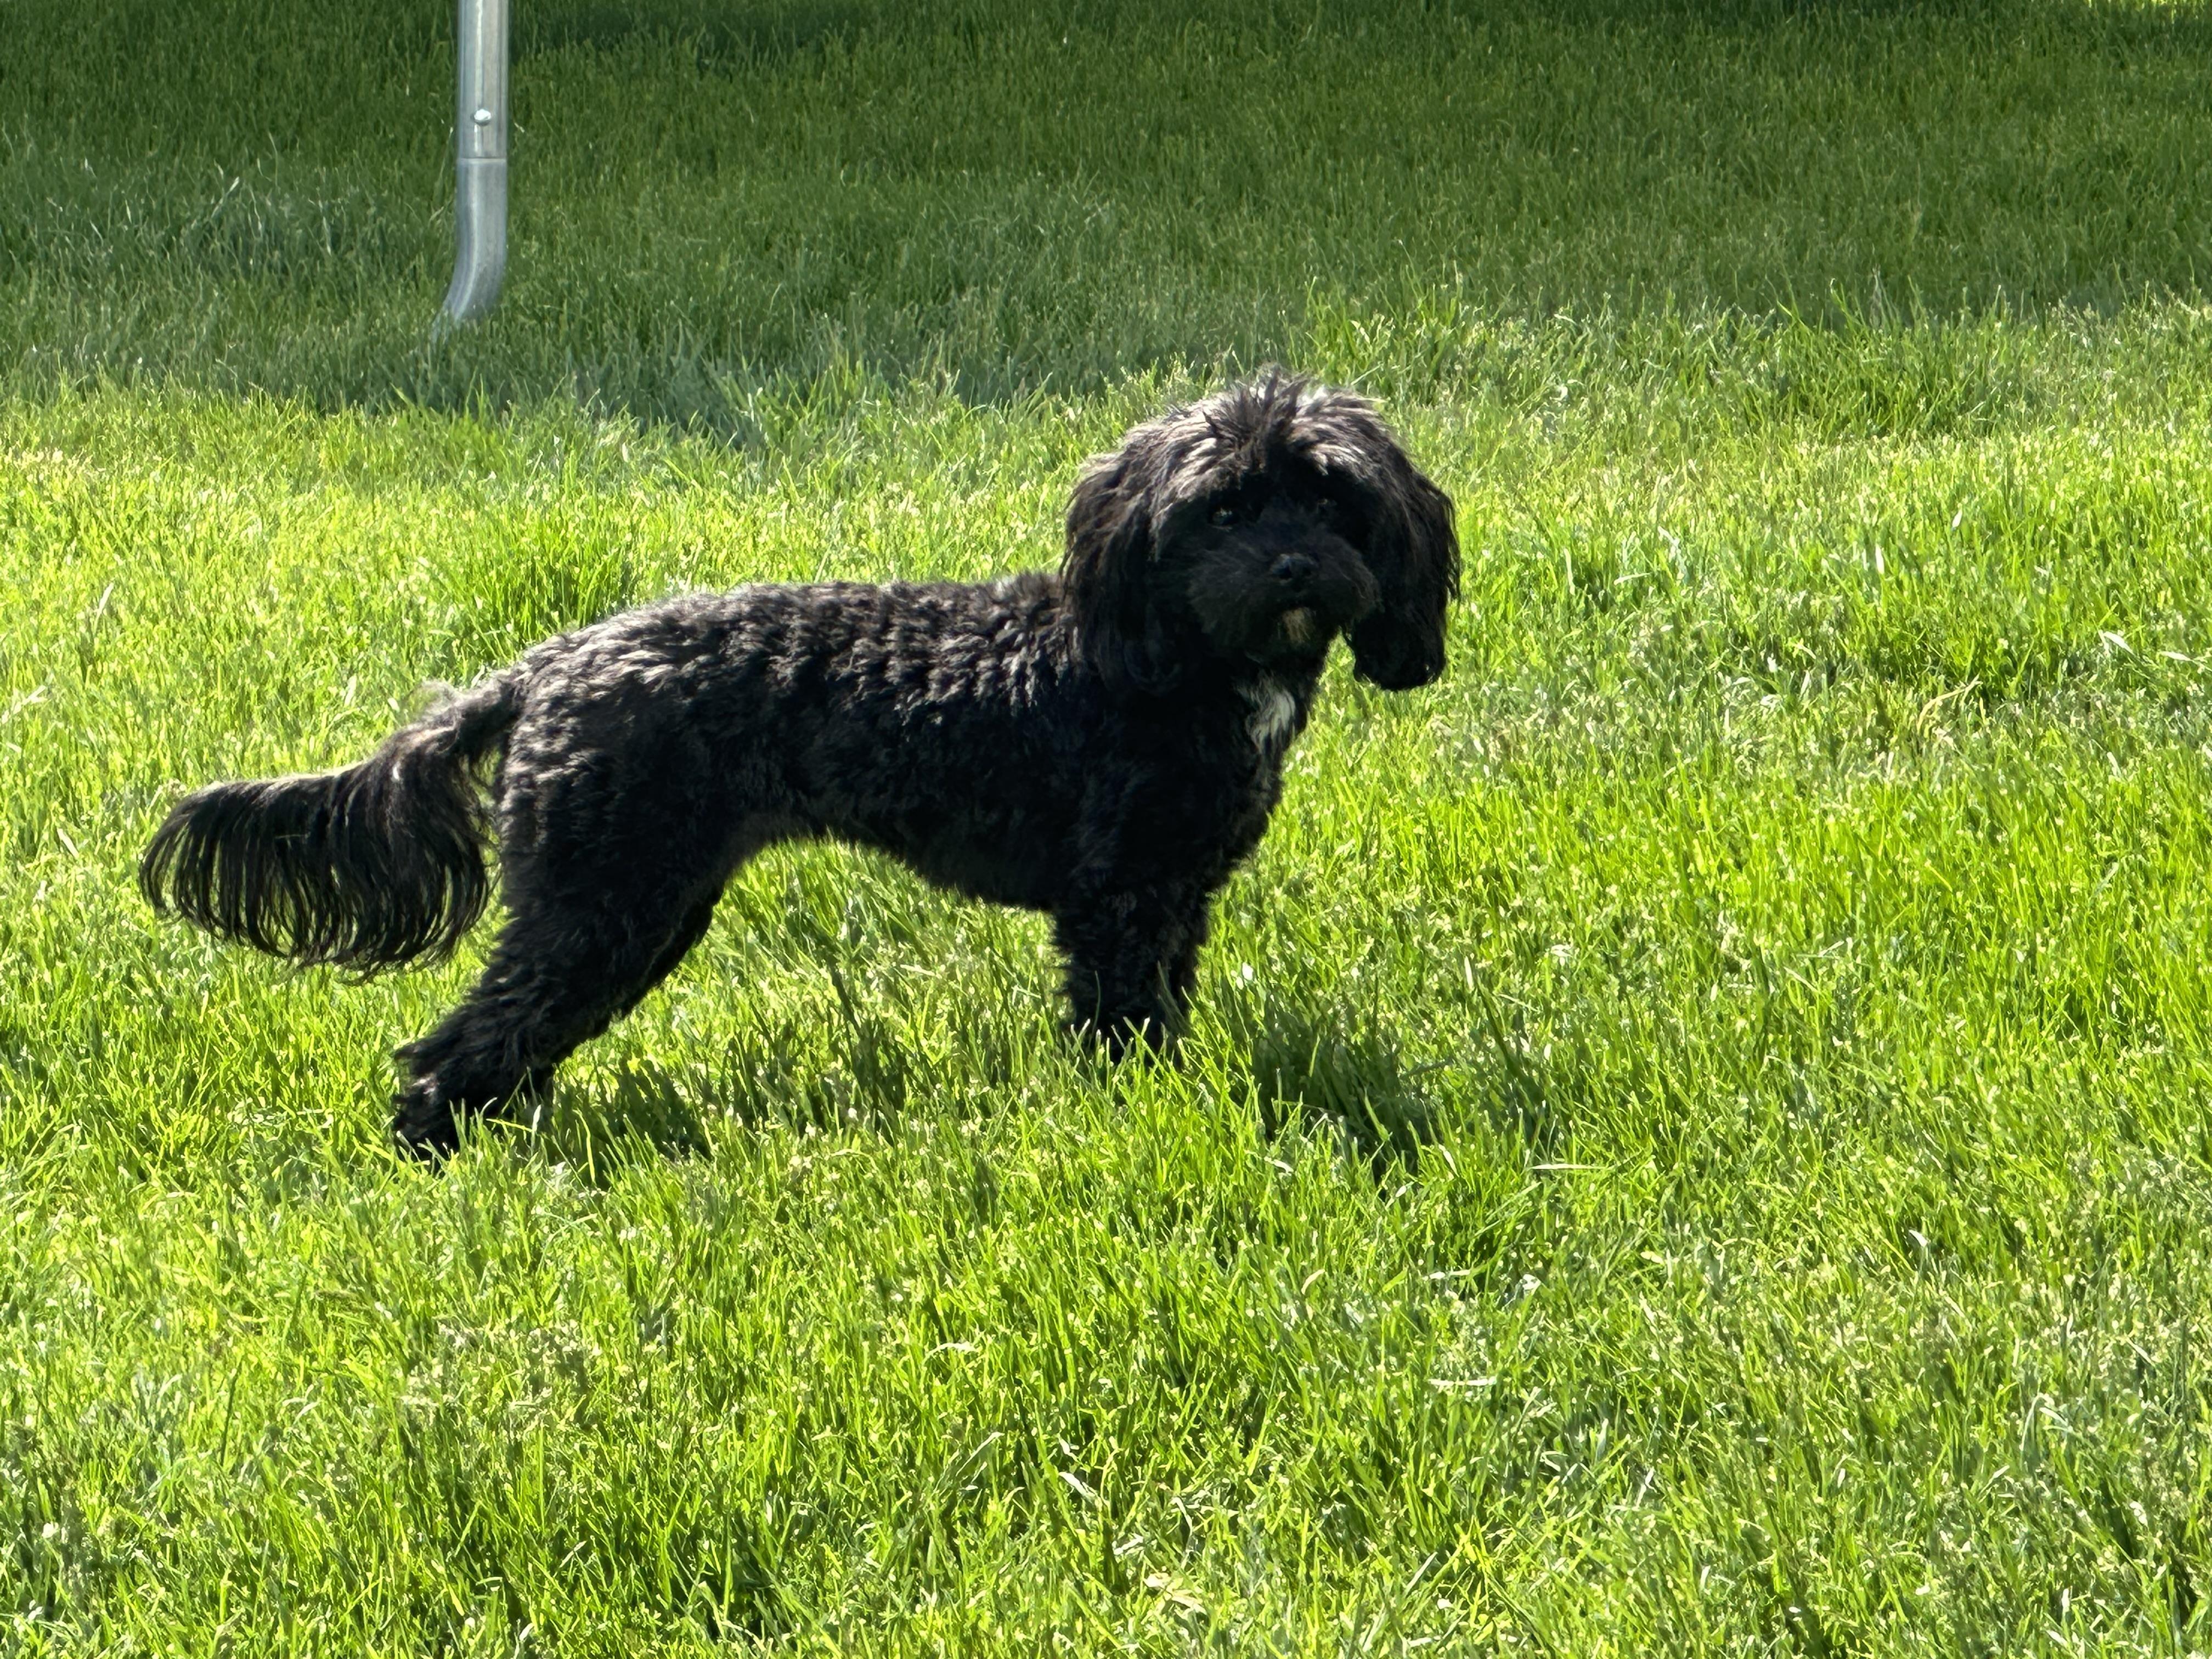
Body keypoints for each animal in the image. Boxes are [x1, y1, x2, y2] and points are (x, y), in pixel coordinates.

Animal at [139, 373, 1459, 1157]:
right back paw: (436, 1151)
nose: (1293, 567)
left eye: (1331, 501)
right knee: (461, 1045)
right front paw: (1130, 1118)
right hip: (605, 902)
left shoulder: (1173, 895)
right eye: (1222, 511)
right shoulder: (1118, 898)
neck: (1170, 655)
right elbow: (1121, 1021)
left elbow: (1162, 1007)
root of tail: (547, 666)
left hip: (629, 905)